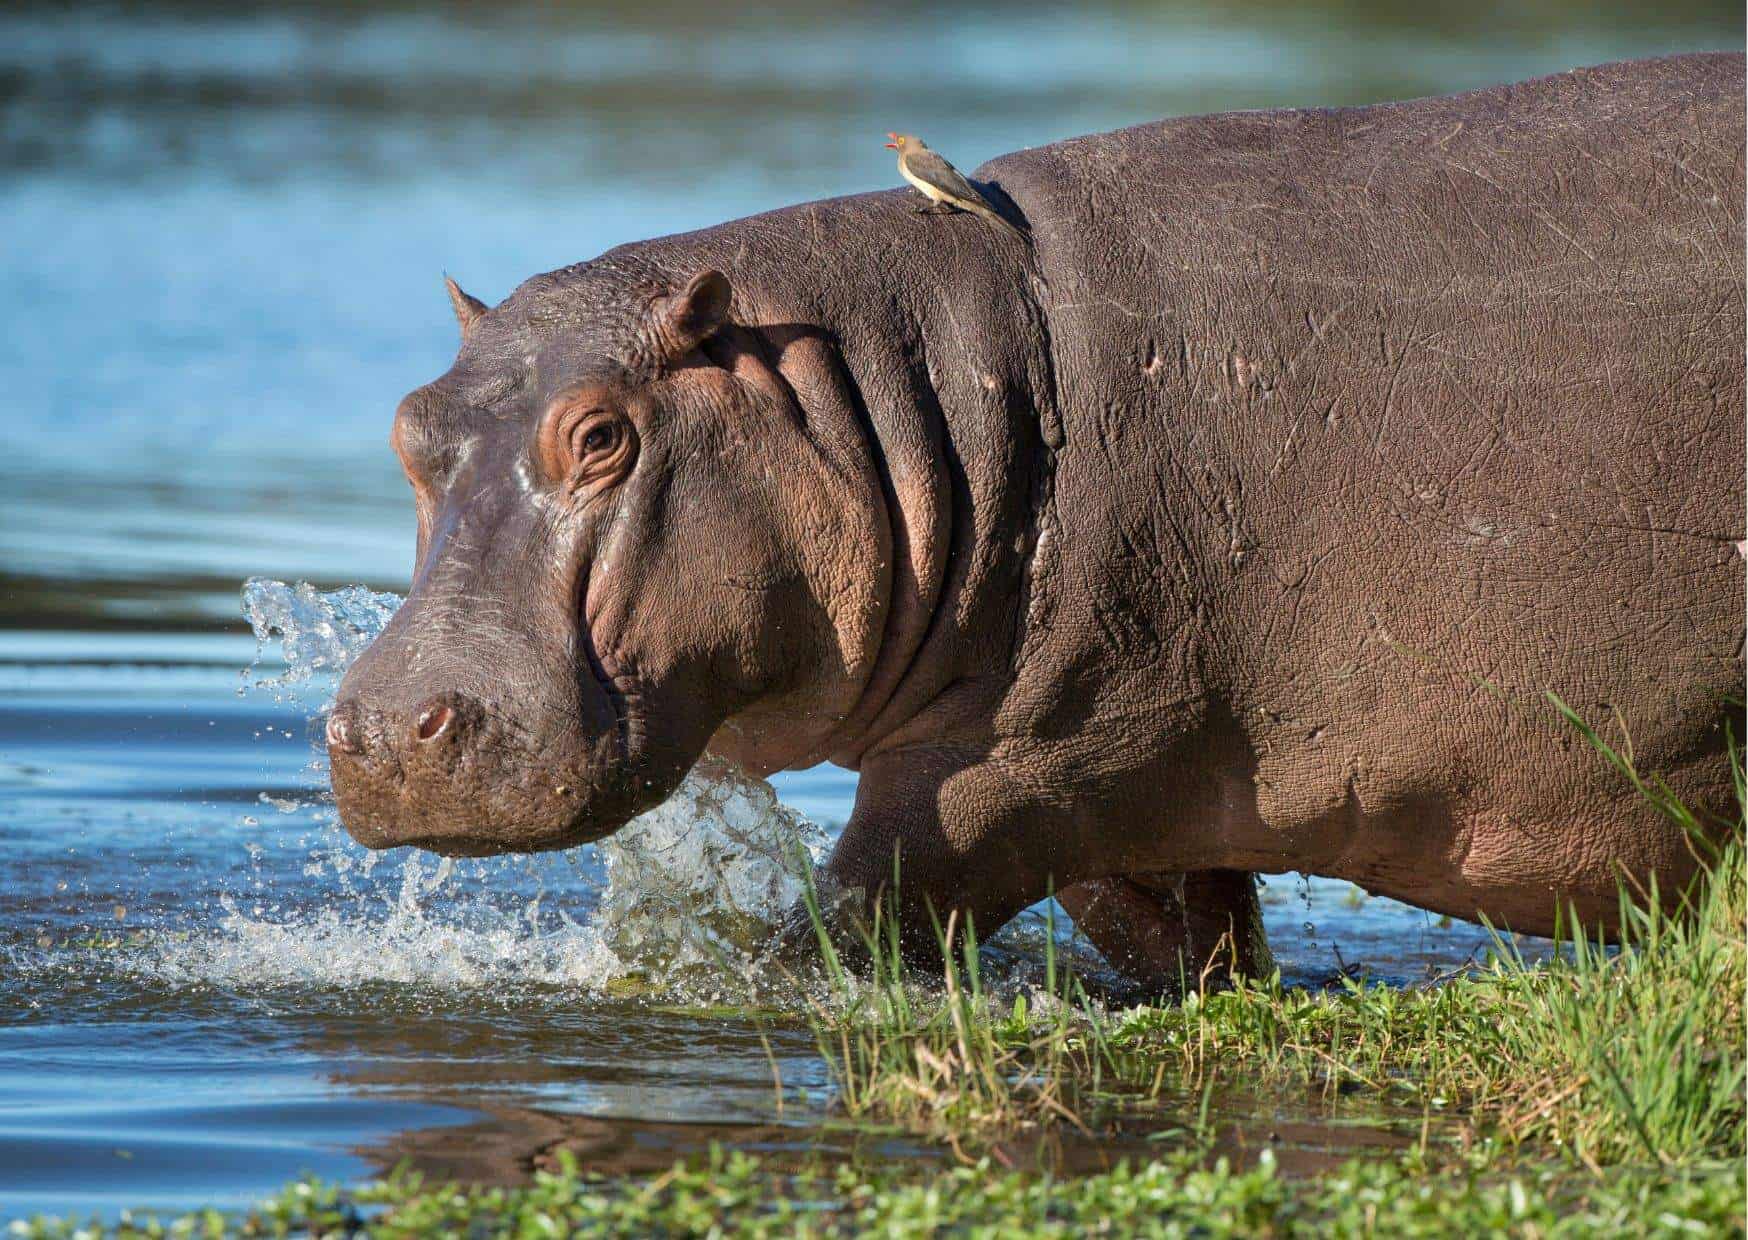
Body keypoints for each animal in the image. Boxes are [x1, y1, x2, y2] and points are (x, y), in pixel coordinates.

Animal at [330, 55, 1748, 986]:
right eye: (406, 425)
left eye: (602, 435)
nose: (387, 727)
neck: (891, 389)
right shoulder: (1137, 789)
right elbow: (1190, 946)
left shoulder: (1014, 768)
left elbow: (844, 922)